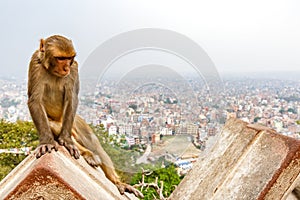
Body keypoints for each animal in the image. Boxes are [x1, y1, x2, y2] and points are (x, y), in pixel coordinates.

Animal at [27, 34, 143, 198]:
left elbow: (72, 98)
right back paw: (86, 152)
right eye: (60, 58)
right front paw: (47, 142)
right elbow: (35, 100)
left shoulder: (74, 68)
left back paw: (116, 181)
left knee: (94, 143)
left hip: (75, 122)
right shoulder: (35, 64)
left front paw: (66, 140)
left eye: (69, 58)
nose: (66, 67)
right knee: (53, 125)